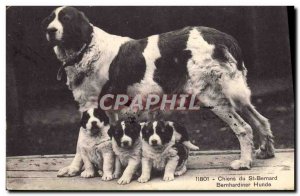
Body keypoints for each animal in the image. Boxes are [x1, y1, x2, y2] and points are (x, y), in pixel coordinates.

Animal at [43, 6, 276, 175]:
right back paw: (266, 151)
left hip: (212, 96)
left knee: (244, 128)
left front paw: (76, 168)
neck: (86, 49)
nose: (50, 31)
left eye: (66, 19)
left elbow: (79, 142)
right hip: (235, 95)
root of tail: (224, 38)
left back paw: (244, 162)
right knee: (260, 120)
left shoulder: (91, 105)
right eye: (52, 18)